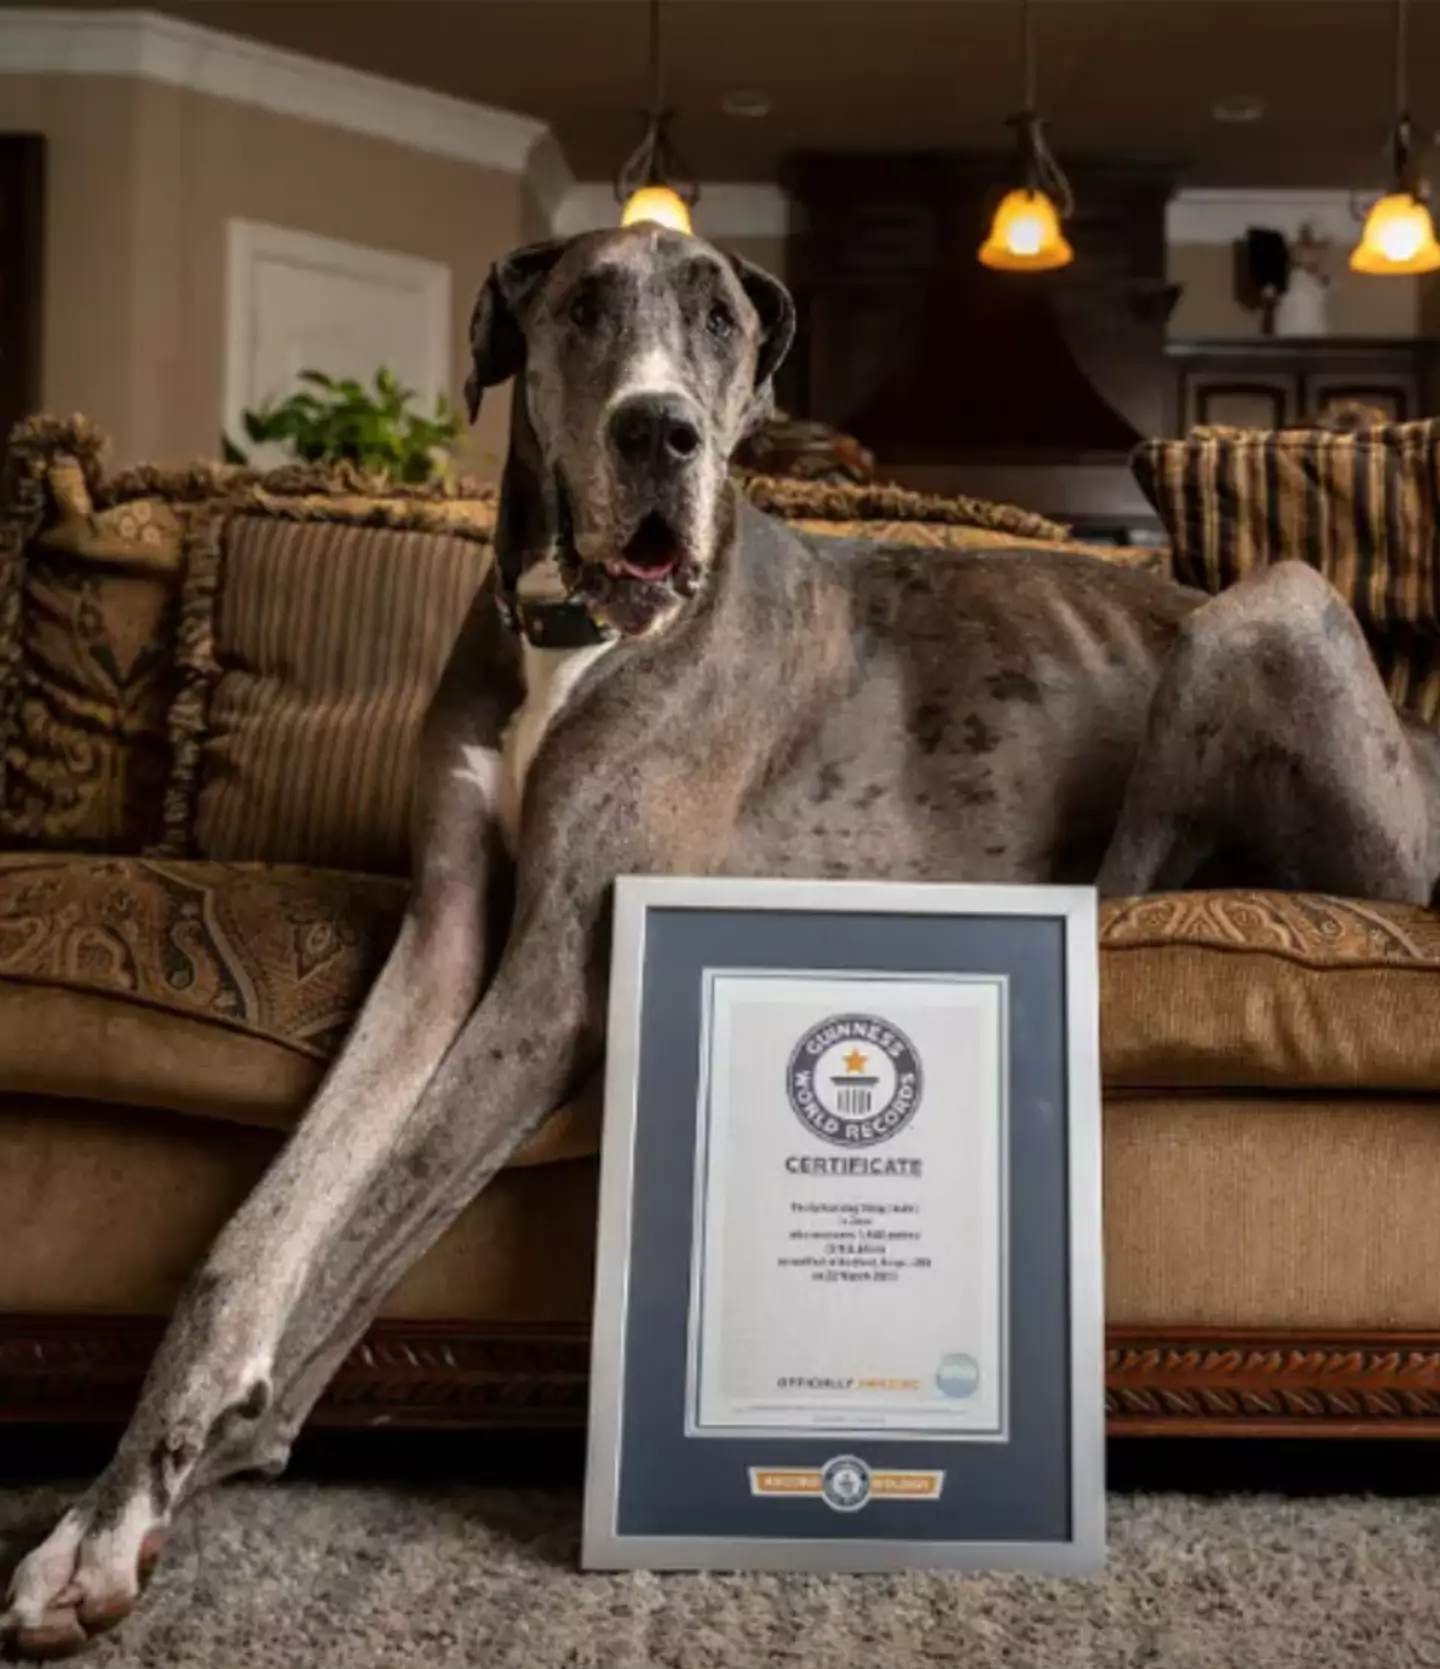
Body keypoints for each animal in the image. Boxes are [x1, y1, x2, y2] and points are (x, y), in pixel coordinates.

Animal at [2, 225, 1440, 1655]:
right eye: (583, 306)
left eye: (721, 324)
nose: (661, 431)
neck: (572, 633)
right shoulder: (444, 935)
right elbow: (268, 1227)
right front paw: (113, 1503)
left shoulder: (555, 975)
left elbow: (373, 1215)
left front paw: (203, 1462)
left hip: (1273, 601)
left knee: (1141, 870)